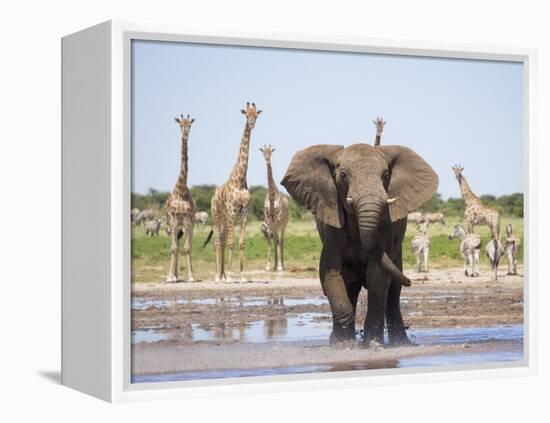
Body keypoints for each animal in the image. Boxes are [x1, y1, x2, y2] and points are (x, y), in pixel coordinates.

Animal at [211, 102, 264, 282]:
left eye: (256, 115)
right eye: (246, 115)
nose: (252, 124)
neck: (240, 179)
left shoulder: (244, 212)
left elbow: (241, 243)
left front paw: (242, 275)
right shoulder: (233, 211)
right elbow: (231, 243)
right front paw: (230, 274)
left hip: (225, 218)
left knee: (221, 238)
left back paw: (222, 275)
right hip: (217, 215)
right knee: (218, 240)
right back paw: (218, 276)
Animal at [282, 144, 438, 346]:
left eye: (386, 174)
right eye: (343, 175)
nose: (411, 281)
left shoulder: (386, 227)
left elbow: (377, 276)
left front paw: (372, 344)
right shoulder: (331, 228)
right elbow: (330, 273)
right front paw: (342, 345)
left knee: (393, 292)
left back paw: (400, 343)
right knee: (352, 287)